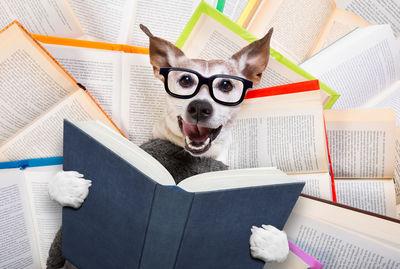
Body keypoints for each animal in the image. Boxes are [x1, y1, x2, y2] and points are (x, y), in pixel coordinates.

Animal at [48, 24, 290, 266]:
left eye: (225, 84)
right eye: (186, 80)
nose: (199, 107)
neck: (190, 155)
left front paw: (272, 242)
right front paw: (67, 186)